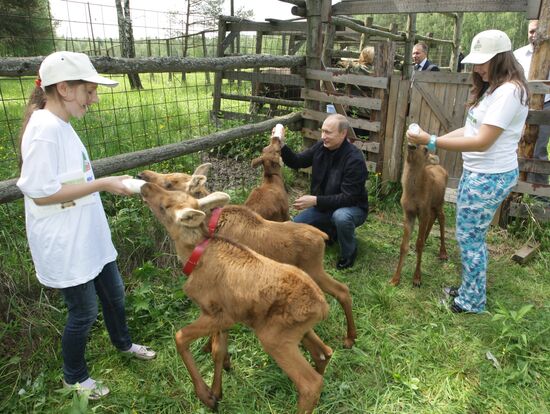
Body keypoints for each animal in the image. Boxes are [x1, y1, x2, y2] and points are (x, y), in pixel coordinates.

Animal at [140, 184, 334, 414]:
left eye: (165, 205)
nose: (144, 186)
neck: (192, 259)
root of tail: (322, 308)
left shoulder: (221, 315)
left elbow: (180, 337)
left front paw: (206, 395)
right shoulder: (222, 314)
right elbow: (219, 351)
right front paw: (217, 391)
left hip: (274, 337)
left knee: (310, 383)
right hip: (297, 332)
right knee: (324, 352)